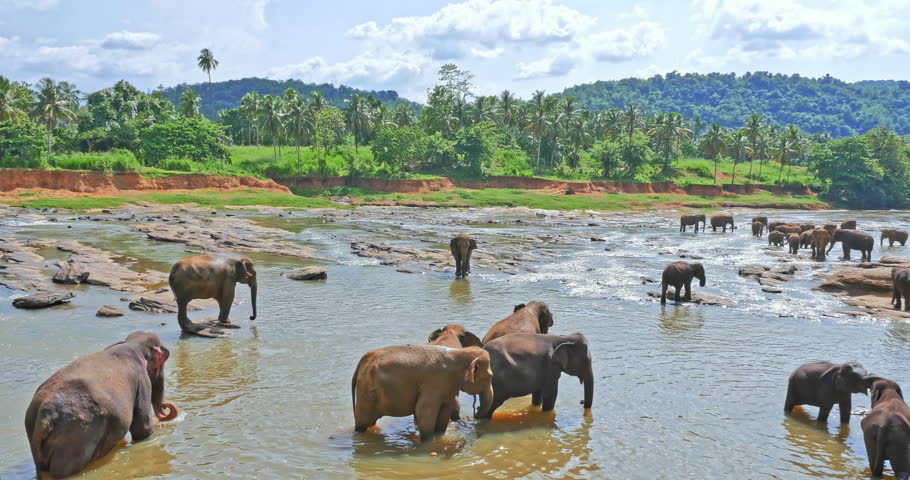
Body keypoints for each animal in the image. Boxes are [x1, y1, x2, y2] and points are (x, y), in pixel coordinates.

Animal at [24, 332, 178, 479]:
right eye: (159, 366)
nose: (166, 406)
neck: (131, 343)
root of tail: (44, 417)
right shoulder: (142, 381)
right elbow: (142, 430)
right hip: (76, 436)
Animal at [351, 344, 493, 441]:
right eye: (490, 377)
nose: (476, 411)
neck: (459, 352)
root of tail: (361, 363)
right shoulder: (434, 382)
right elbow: (424, 411)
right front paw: (427, 442)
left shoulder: (446, 386)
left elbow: (444, 411)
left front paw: (439, 437)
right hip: (366, 392)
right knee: (363, 423)